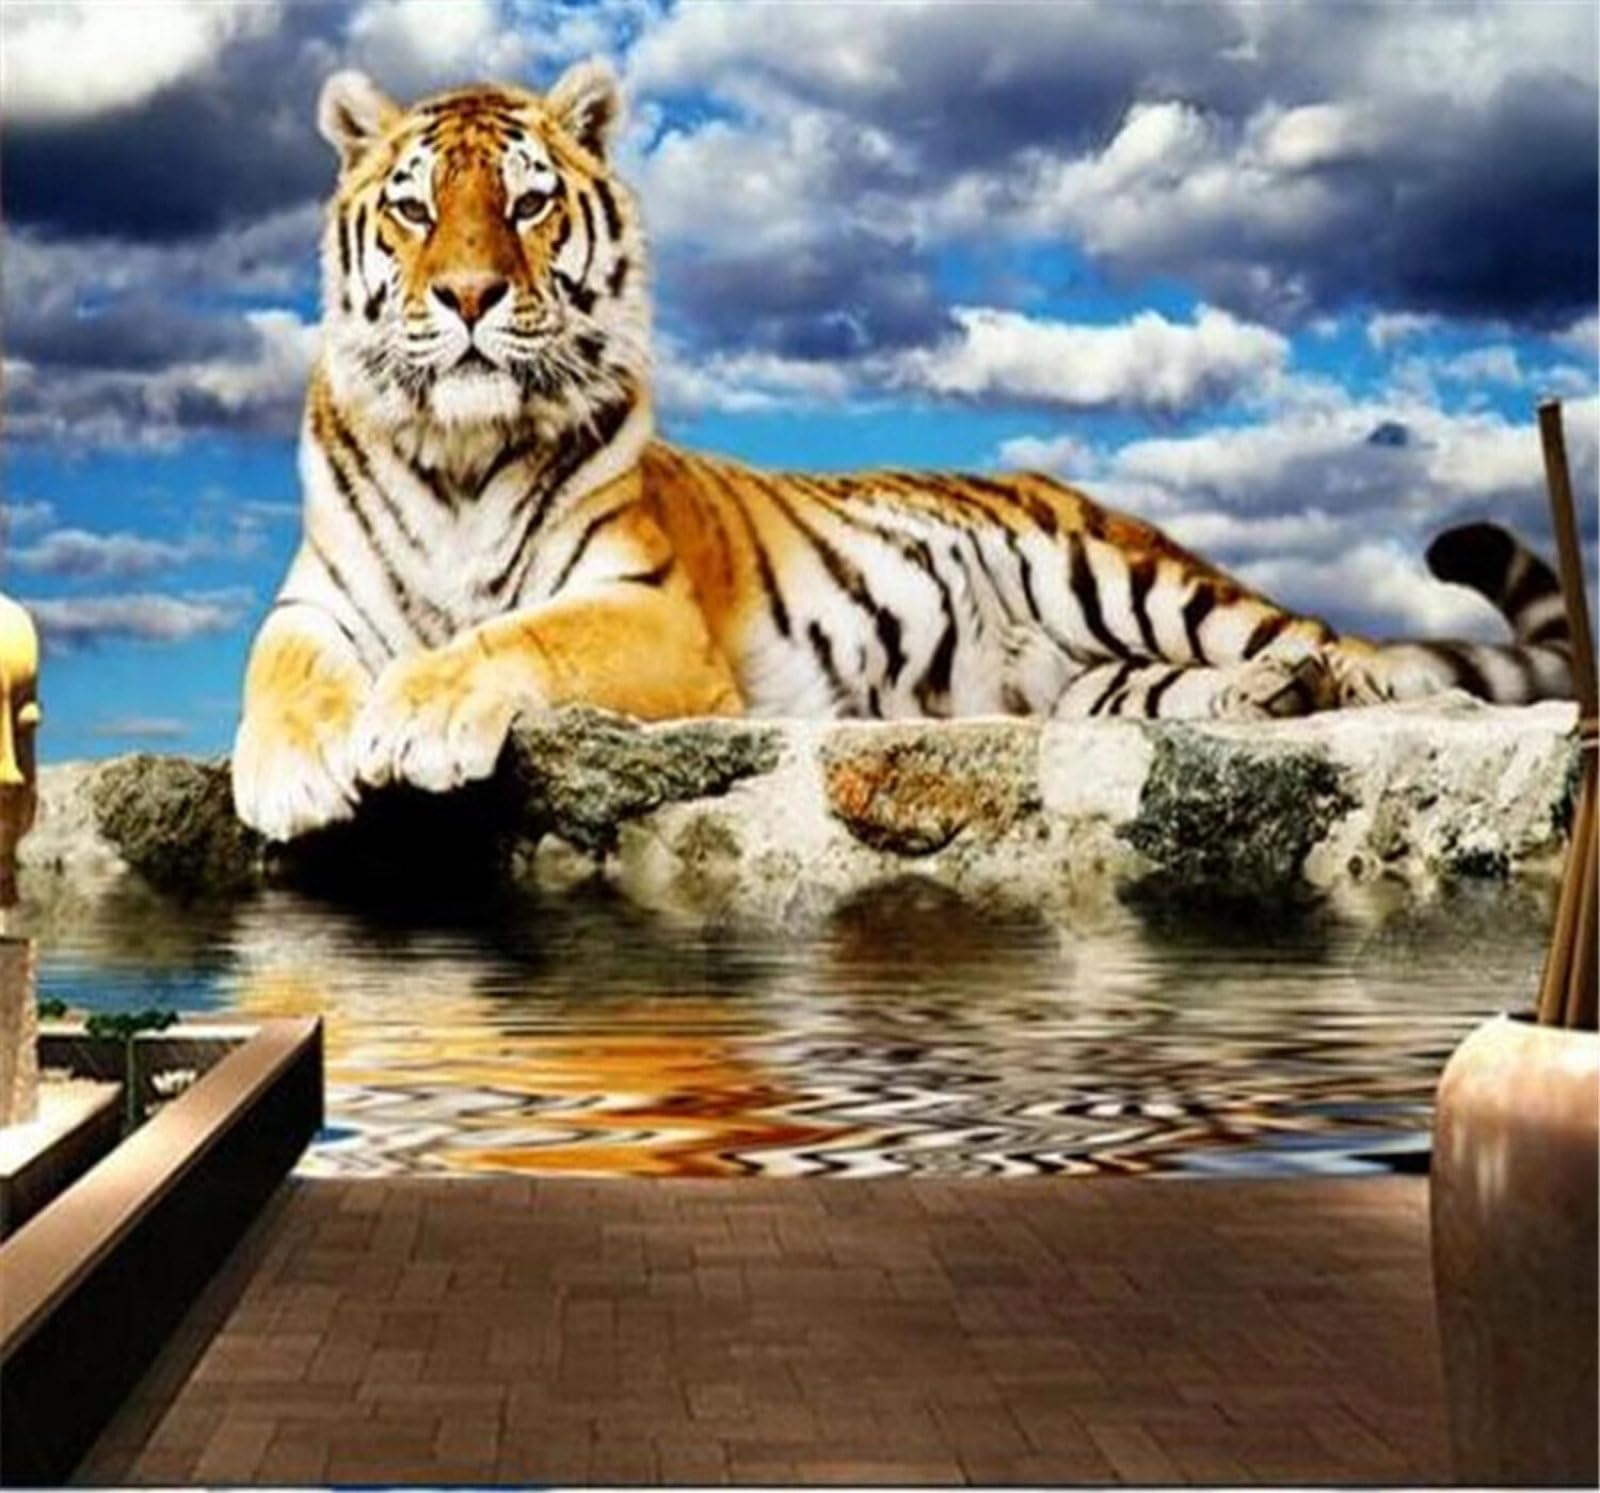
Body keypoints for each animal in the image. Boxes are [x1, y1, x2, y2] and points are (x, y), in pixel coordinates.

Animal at [231, 61, 1575, 843]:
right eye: (413, 209)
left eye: (525, 203)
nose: (465, 296)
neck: (457, 450)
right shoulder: (318, 601)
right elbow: (277, 673)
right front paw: (293, 772)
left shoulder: (643, 607)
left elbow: (512, 638)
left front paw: (412, 718)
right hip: (1086, 676)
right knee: (1177, 689)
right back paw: (1268, 697)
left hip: (1131, 574)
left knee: (1348, 647)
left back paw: (1374, 685)